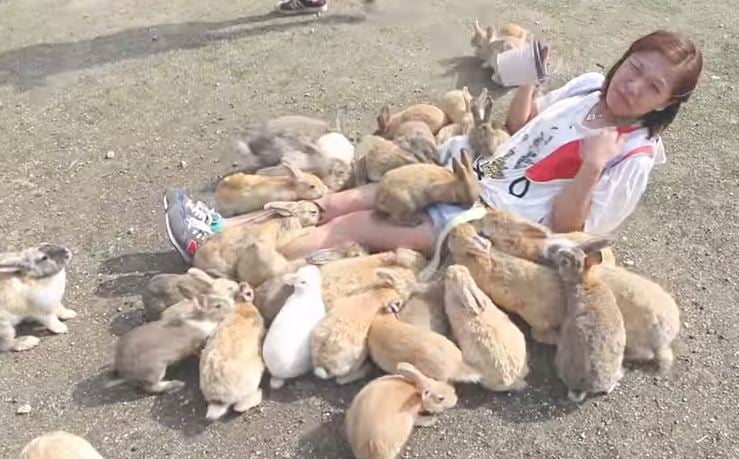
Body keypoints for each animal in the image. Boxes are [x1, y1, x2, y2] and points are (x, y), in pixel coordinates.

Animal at [199, 283, 266, 421]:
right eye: (249, 293)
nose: (245, 284)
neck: (241, 306)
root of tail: (217, 395)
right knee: (240, 406)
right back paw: (259, 393)